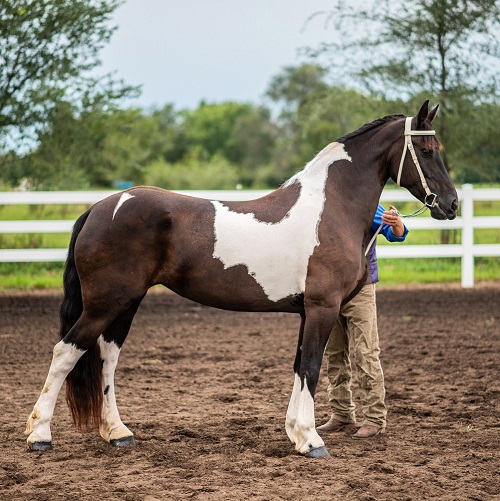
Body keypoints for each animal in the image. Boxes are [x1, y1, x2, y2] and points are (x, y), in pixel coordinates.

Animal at [26, 99, 458, 456]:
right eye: (426, 150)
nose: (451, 204)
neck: (330, 208)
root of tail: (100, 207)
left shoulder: (308, 312)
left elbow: (300, 365)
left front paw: (295, 432)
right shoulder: (322, 308)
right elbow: (312, 366)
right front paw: (311, 440)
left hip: (126, 303)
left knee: (106, 357)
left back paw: (117, 432)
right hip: (105, 303)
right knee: (66, 352)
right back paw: (39, 434)